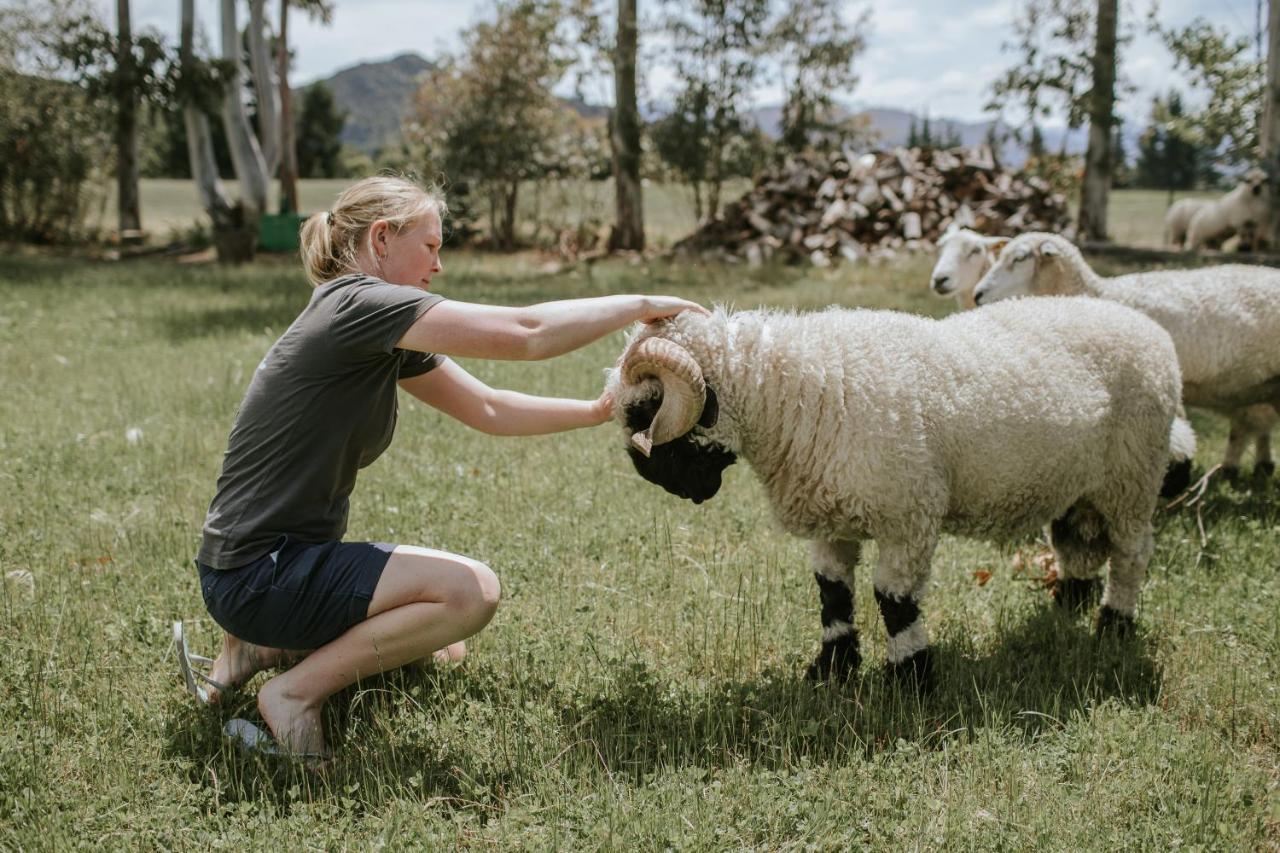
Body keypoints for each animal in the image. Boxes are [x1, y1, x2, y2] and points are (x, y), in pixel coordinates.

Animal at [609, 298, 1187, 686]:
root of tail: (1150, 330)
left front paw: (911, 677)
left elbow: (894, 601)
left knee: (1132, 553)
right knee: (1079, 542)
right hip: (1080, 484)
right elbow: (832, 593)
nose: (654, 478)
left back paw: (1114, 625)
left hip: (1133, 476)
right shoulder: (830, 520)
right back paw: (1068, 604)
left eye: (647, 408)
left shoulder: (910, 516)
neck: (791, 397)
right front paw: (831, 670)